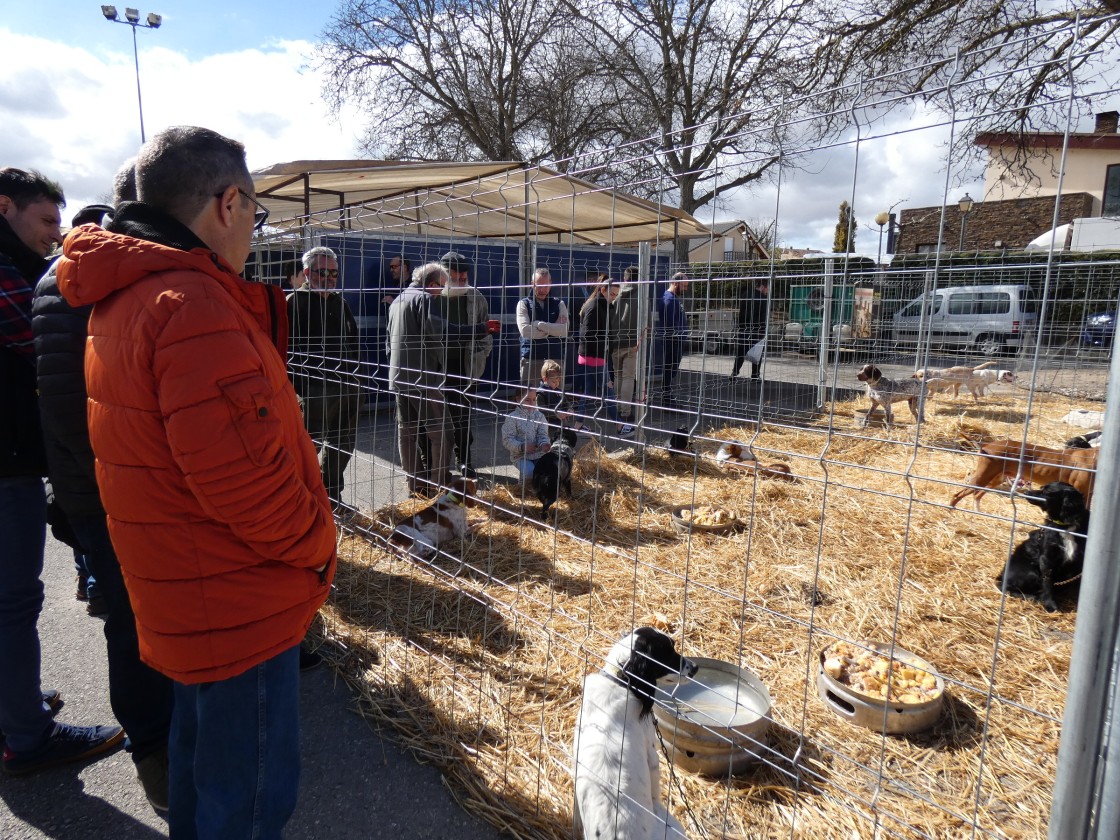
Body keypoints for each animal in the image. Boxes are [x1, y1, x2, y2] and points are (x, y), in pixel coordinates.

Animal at [949, 441, 1097, 512]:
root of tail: (986, 445)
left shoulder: (1088, 495)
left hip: (995, 479)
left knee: (977, 495)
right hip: (983, 478)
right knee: (957, 495)